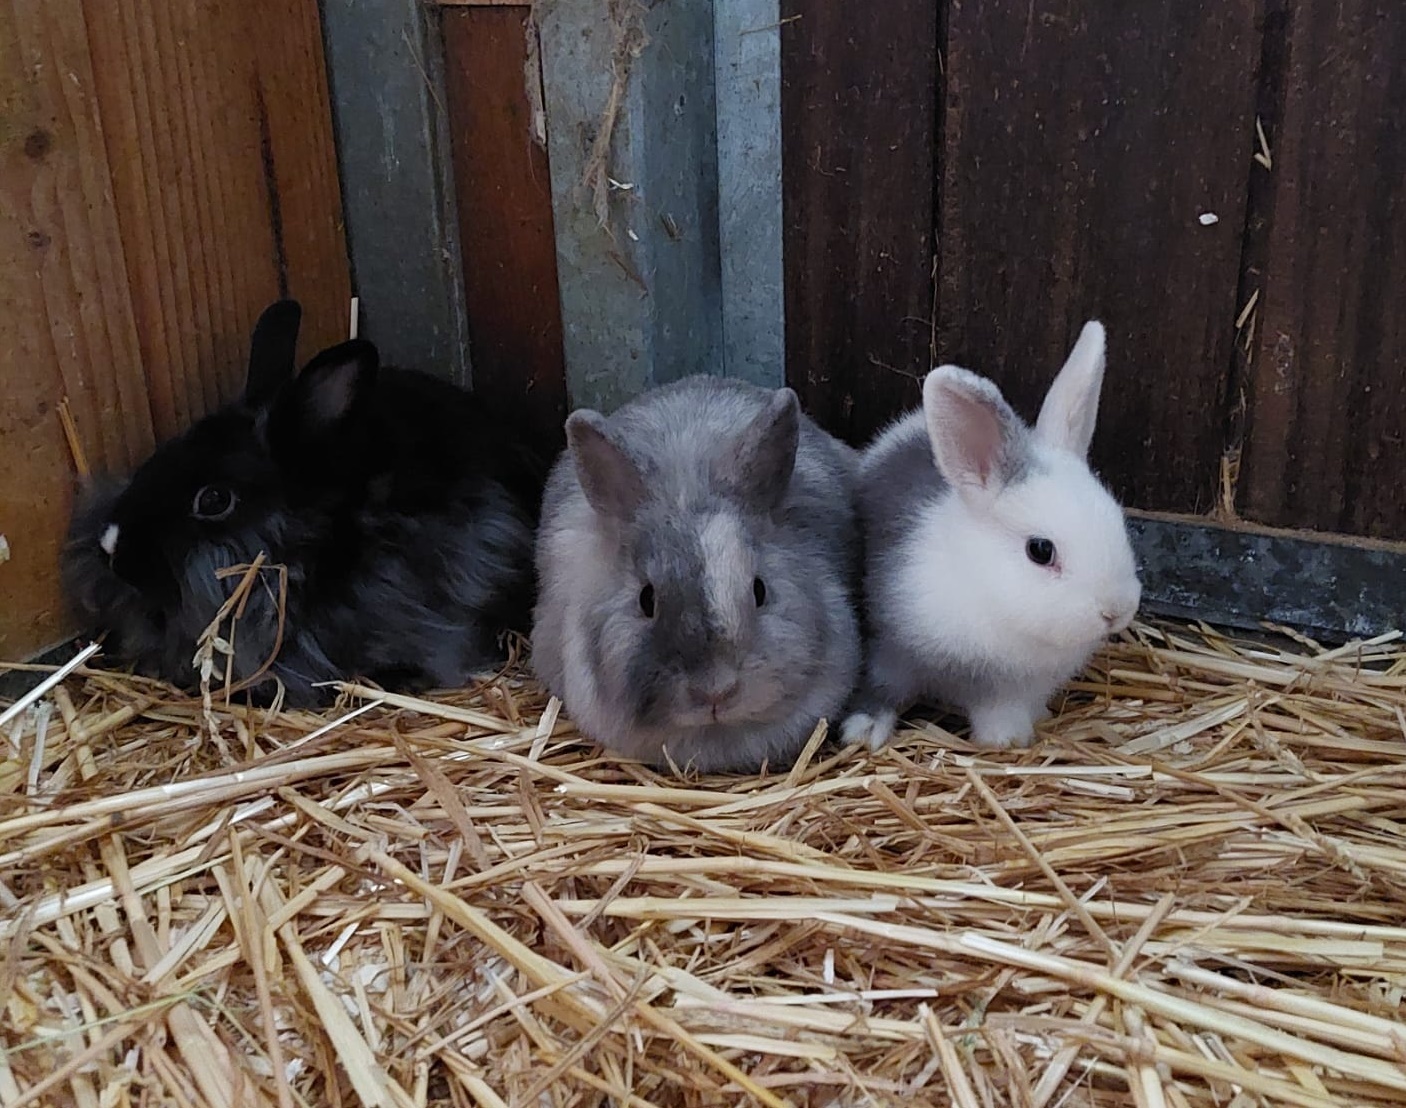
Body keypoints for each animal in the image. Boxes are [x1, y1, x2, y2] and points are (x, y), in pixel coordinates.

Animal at [841, 321, 1142, 752]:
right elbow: (882, 688)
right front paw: (863, 731)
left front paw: (1009, 738)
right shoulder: (891, 648)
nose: (1116, 611)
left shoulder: (1015, 687)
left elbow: (1003, 710)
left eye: (1118, 521)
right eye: (1040, 550)